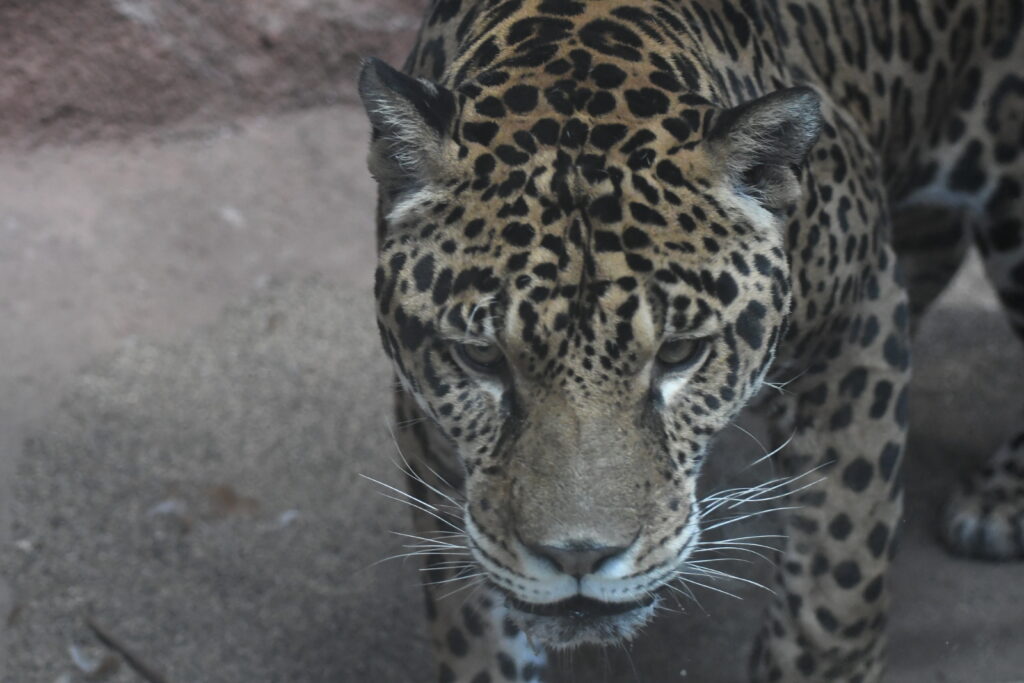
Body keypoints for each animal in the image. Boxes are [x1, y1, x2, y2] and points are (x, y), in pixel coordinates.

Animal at [354, 2, 1024, 679]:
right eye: (481, 356)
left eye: (679, 354)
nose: (577, 556)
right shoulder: (432, 433)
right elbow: (475, 626)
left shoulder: (859, 319)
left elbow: (837, 579)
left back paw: (997, 504)